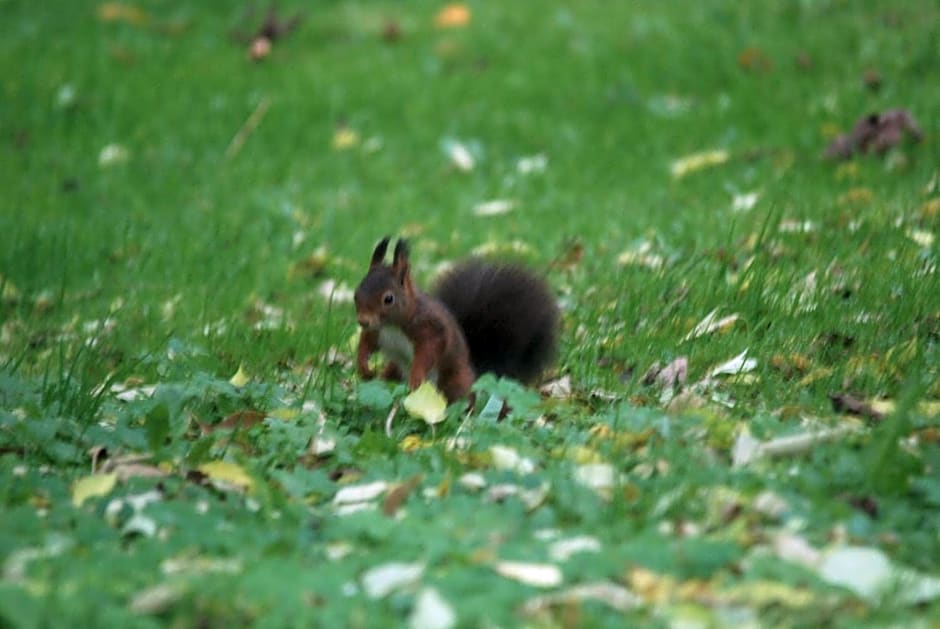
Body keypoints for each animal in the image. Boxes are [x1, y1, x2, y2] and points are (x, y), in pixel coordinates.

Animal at [352, 236, 560, 402]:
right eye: (356, 293)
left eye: (388, 299)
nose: (363, 321)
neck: (392, 325)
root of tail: (475, 374)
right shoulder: (377, 331)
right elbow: (366, 344)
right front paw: (363, 367)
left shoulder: (430, 328)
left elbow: (428, 352)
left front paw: (416, 377)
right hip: (394, 369)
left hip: (455, 381)